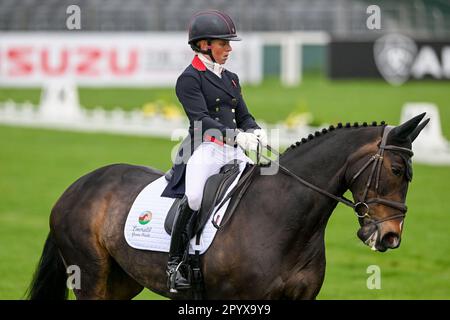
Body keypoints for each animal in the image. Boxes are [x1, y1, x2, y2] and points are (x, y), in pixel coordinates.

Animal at [27, 114, 428, 298]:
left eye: (411, 174)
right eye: (396, 170)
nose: (390, 237)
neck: (283, 221)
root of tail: (77, 186)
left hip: (123, 280)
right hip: (90, 275)